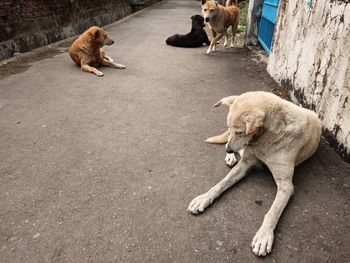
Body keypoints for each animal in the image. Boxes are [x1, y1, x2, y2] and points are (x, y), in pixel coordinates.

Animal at [187, 91, 322, 258]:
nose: (228, 149)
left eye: (240, 132)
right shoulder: (245, 163)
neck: (266, 137)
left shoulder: (286, 185)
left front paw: (263, 237)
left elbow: (272, 212)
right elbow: (220, 185)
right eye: (231, 129)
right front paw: (203, 198)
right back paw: (230, 157)